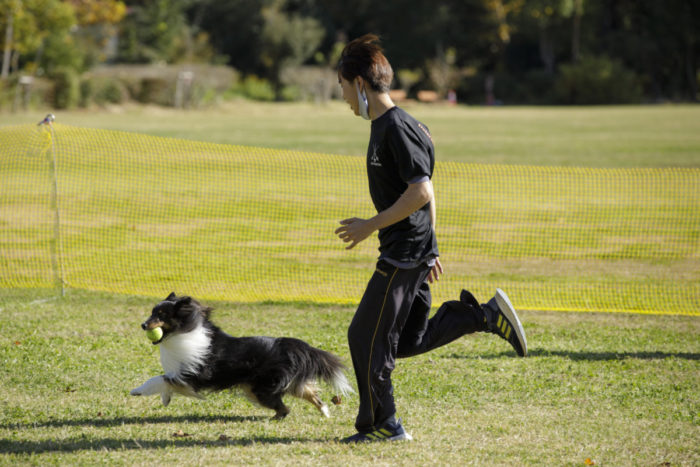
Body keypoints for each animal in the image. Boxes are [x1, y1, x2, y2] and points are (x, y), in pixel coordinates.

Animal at [129, 292, 352, 420]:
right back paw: (325, 412)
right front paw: (166, 399)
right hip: (270, 386)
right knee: (310, 394)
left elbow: (159, 379)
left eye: (161, 315)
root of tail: (289, 345)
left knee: (285, 408)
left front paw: (137, 391)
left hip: (260, 389)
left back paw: (274, 419)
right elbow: (166, 383)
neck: (184, 331)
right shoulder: (180, 374)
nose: (143, 325)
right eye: (152, 313)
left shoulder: (191, 375)